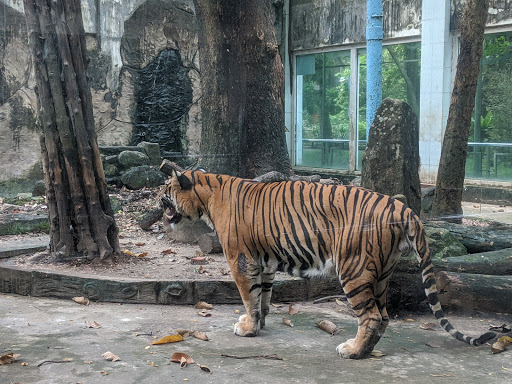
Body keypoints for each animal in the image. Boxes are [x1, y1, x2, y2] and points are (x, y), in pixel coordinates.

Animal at [161, 170, 496, 358]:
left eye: (166, 193)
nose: (156, 203)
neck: (207, 194)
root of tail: (403, 207)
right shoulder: (265, 262)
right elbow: (263, 297)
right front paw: (260, 323)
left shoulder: (241, 259)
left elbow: (248, 297)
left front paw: (247, 327)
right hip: (382, 274)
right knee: (383, 316)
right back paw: (365, 350)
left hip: (354, 269)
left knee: (371, 316)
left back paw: (352, 351)